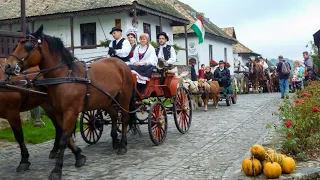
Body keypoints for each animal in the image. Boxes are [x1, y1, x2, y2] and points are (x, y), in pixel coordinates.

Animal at [4, 25, 134, 180]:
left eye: (28, 46)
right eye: (17, 45)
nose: (8, 66)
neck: (65, 76)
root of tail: (120, 63)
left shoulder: (70, 112)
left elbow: (63, 140)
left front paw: (57, 170)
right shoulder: (59, 112)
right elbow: (64, 135)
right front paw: (79, 156)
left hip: (124, 97)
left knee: (124, 118)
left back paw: (123, 145)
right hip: (106, 101)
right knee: (114, 115)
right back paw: (115, 141)